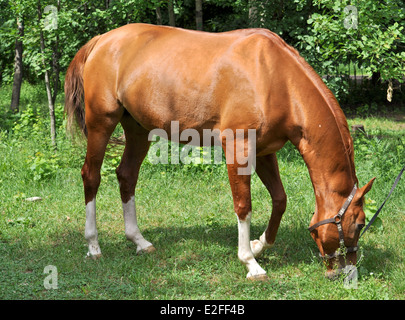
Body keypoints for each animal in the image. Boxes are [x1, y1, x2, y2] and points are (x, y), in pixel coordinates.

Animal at [64, 22, 374, 278]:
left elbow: (280, 199)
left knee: (127, 175)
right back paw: (93, 246)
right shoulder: (238, 148)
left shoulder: (264, 151)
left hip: (138, 129)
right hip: (101, 123)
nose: (344, 271)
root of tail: (101, 40)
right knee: (91, 175)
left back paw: (139, 241)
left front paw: (258, 245)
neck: (274, 77)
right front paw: (250, 262)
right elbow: (244, 205)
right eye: (359, 224)